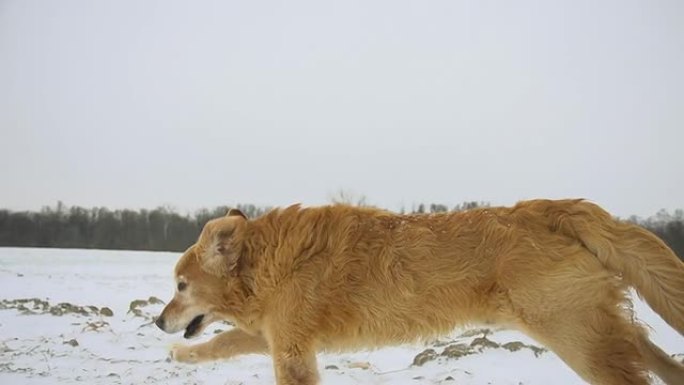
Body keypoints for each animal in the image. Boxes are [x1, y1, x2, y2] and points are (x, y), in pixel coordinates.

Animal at [155, 200, 684, 382]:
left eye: (180, 285)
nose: (159, 321)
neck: (269, 261)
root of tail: (555, 208)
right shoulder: (277, 334)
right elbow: (222, 342)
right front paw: (183, 356)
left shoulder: (291, 349)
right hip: (602, 331)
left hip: (579, 340)